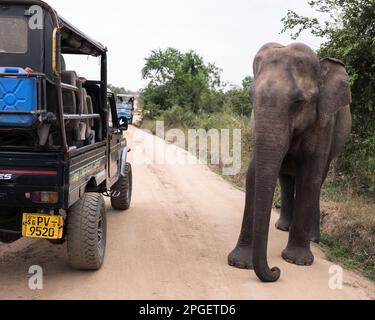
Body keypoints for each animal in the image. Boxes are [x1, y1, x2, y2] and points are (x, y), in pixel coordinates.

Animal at [228, 43, 354, 282]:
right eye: (251, 97)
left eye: (299, 102)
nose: (275, 271)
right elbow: (254, 174)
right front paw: (239, 263)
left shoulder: (324, 122)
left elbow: (309, 177)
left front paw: (296, 261)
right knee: (286, 180)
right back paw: (282, 227)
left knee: (317, 181)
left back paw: (312, 238)